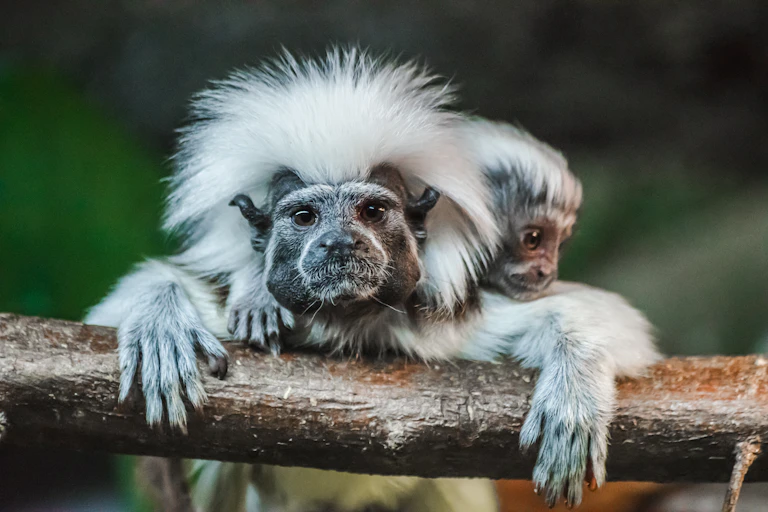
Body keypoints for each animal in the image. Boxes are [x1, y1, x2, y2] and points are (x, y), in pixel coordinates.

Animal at [84, 47, 660, 510]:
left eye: (372, 211)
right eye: (305, 218)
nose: (341, 244)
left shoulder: (456, 319)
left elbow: (605, 322)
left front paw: (572, 398)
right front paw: (162, 324)